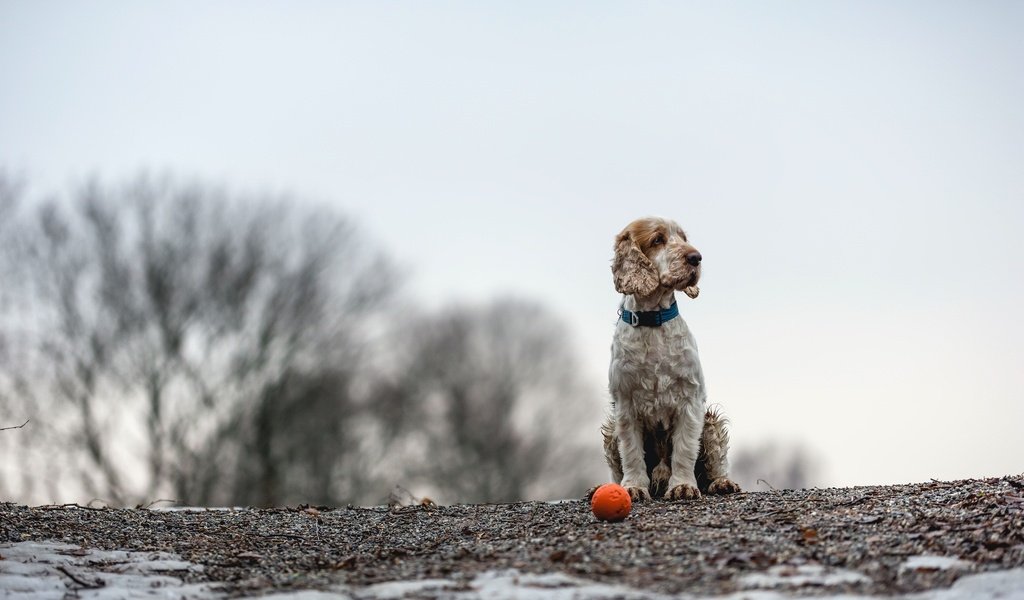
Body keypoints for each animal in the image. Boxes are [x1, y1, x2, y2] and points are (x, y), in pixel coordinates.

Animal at [598, 215, 737, 499]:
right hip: (610, 432)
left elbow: (684, 450)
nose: (696, 257)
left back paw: (721, 483)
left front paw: (683, 486)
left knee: (715, 465)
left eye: (683, 238)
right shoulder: (626, 406)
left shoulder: (690, 401)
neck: (653, 321)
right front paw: (634, 487)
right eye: (658, 240)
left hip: (711, 423)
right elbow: (631, 452)